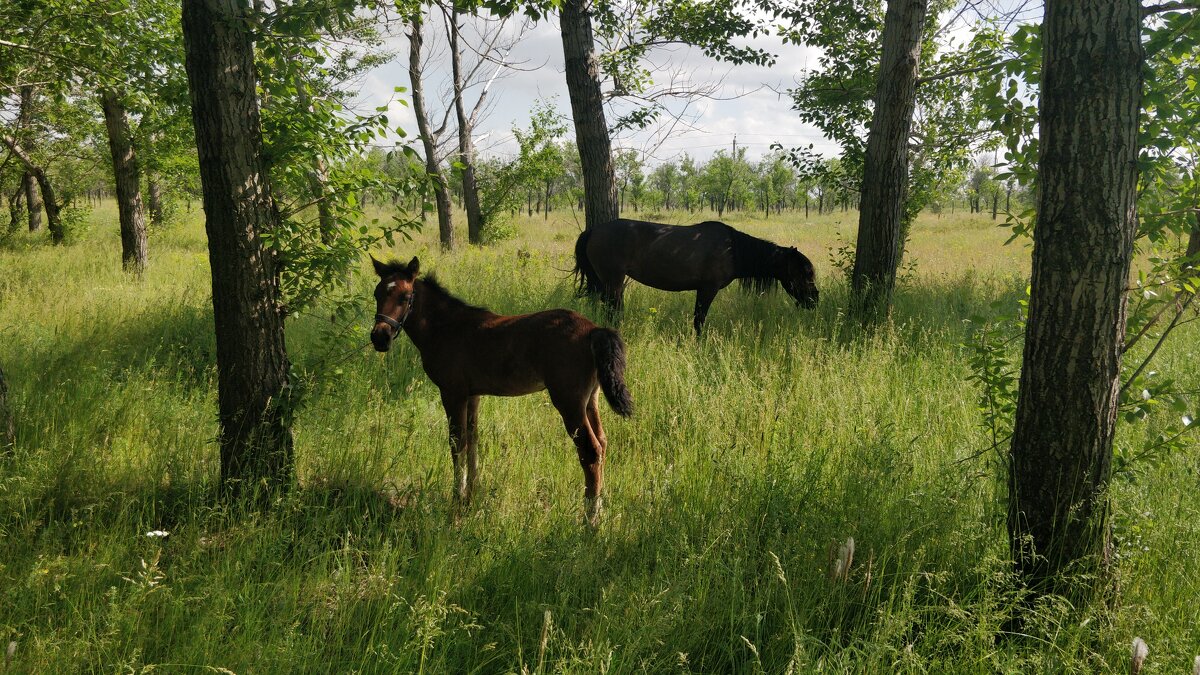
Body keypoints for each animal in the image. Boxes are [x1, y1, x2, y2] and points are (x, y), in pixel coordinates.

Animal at [367, 254, 633, 523]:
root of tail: (593, 330)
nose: (380, 337)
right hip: (590, 400)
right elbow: (473, 440)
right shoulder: (473, 395)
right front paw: (471, 497)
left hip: (569, 402)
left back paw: (590, 521)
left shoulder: (452, 393)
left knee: (590, 450)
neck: (446, 327)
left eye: (405, 297)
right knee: (602, 443)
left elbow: (457, 443)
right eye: (377, 293)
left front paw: (457, 502)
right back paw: (601, 509)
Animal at [568, 218, 816, 333]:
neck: (733, 249)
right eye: (805, 273)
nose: (814, 300)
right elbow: (699, 320)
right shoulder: (708, 289)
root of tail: (594, 230)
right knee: (613, 310)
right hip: (614, 280)